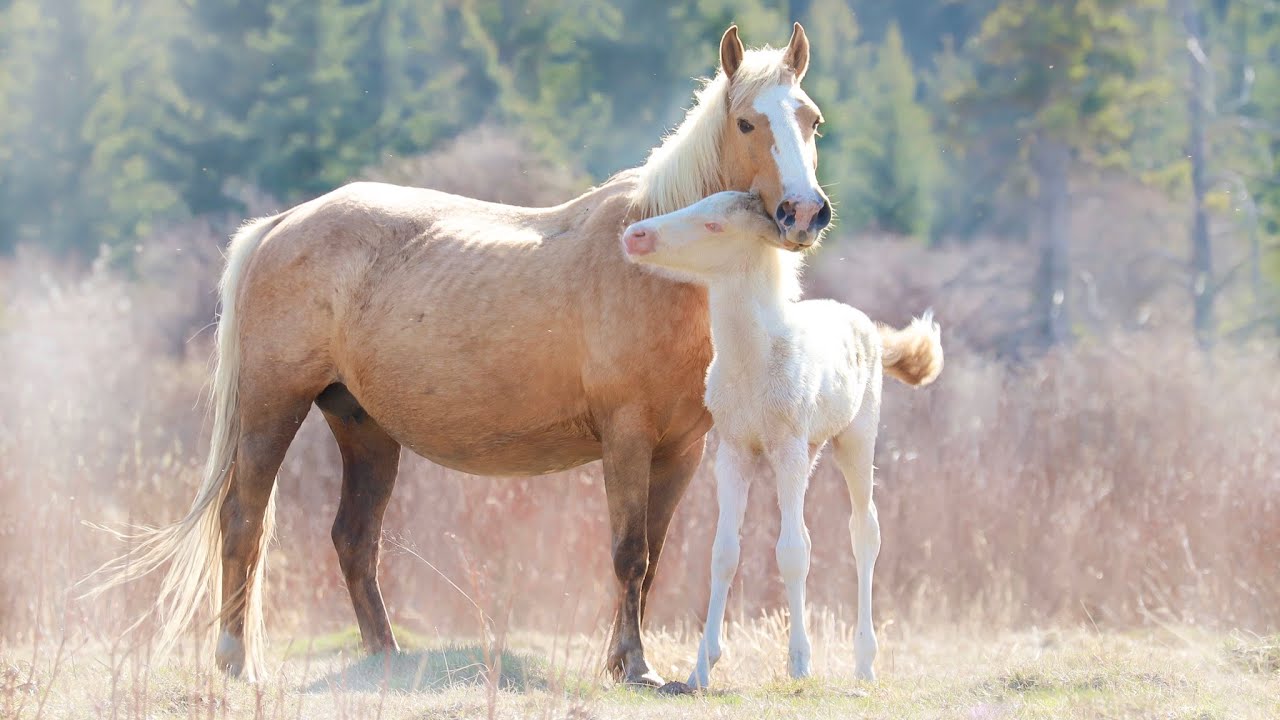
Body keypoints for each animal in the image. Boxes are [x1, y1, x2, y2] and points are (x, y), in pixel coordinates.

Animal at [88, 24, 833, 687]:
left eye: (812, 120)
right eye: (746, 123)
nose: (803, 213)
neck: (655, 264)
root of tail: (281, 224)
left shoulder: (680, 449)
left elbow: (651, 557)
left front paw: (626, 662)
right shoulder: (626, 437)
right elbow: (628, 552)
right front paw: (635, 666)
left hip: (362, 427)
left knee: (353, 538)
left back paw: (385, 658)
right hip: (271, 406)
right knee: (243, 521)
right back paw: (236, 662)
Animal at [620, 191, 942, 686]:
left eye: (713, 225)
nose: (634, 235)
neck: (753, 359)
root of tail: (867, 326)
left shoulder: (786, 448)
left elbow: (790, 552)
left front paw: (800, 664)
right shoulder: (733, 452)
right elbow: (725, 551)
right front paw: (701, 669)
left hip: (854, 438)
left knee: (863, 531)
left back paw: (864, 663)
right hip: (810, 451)